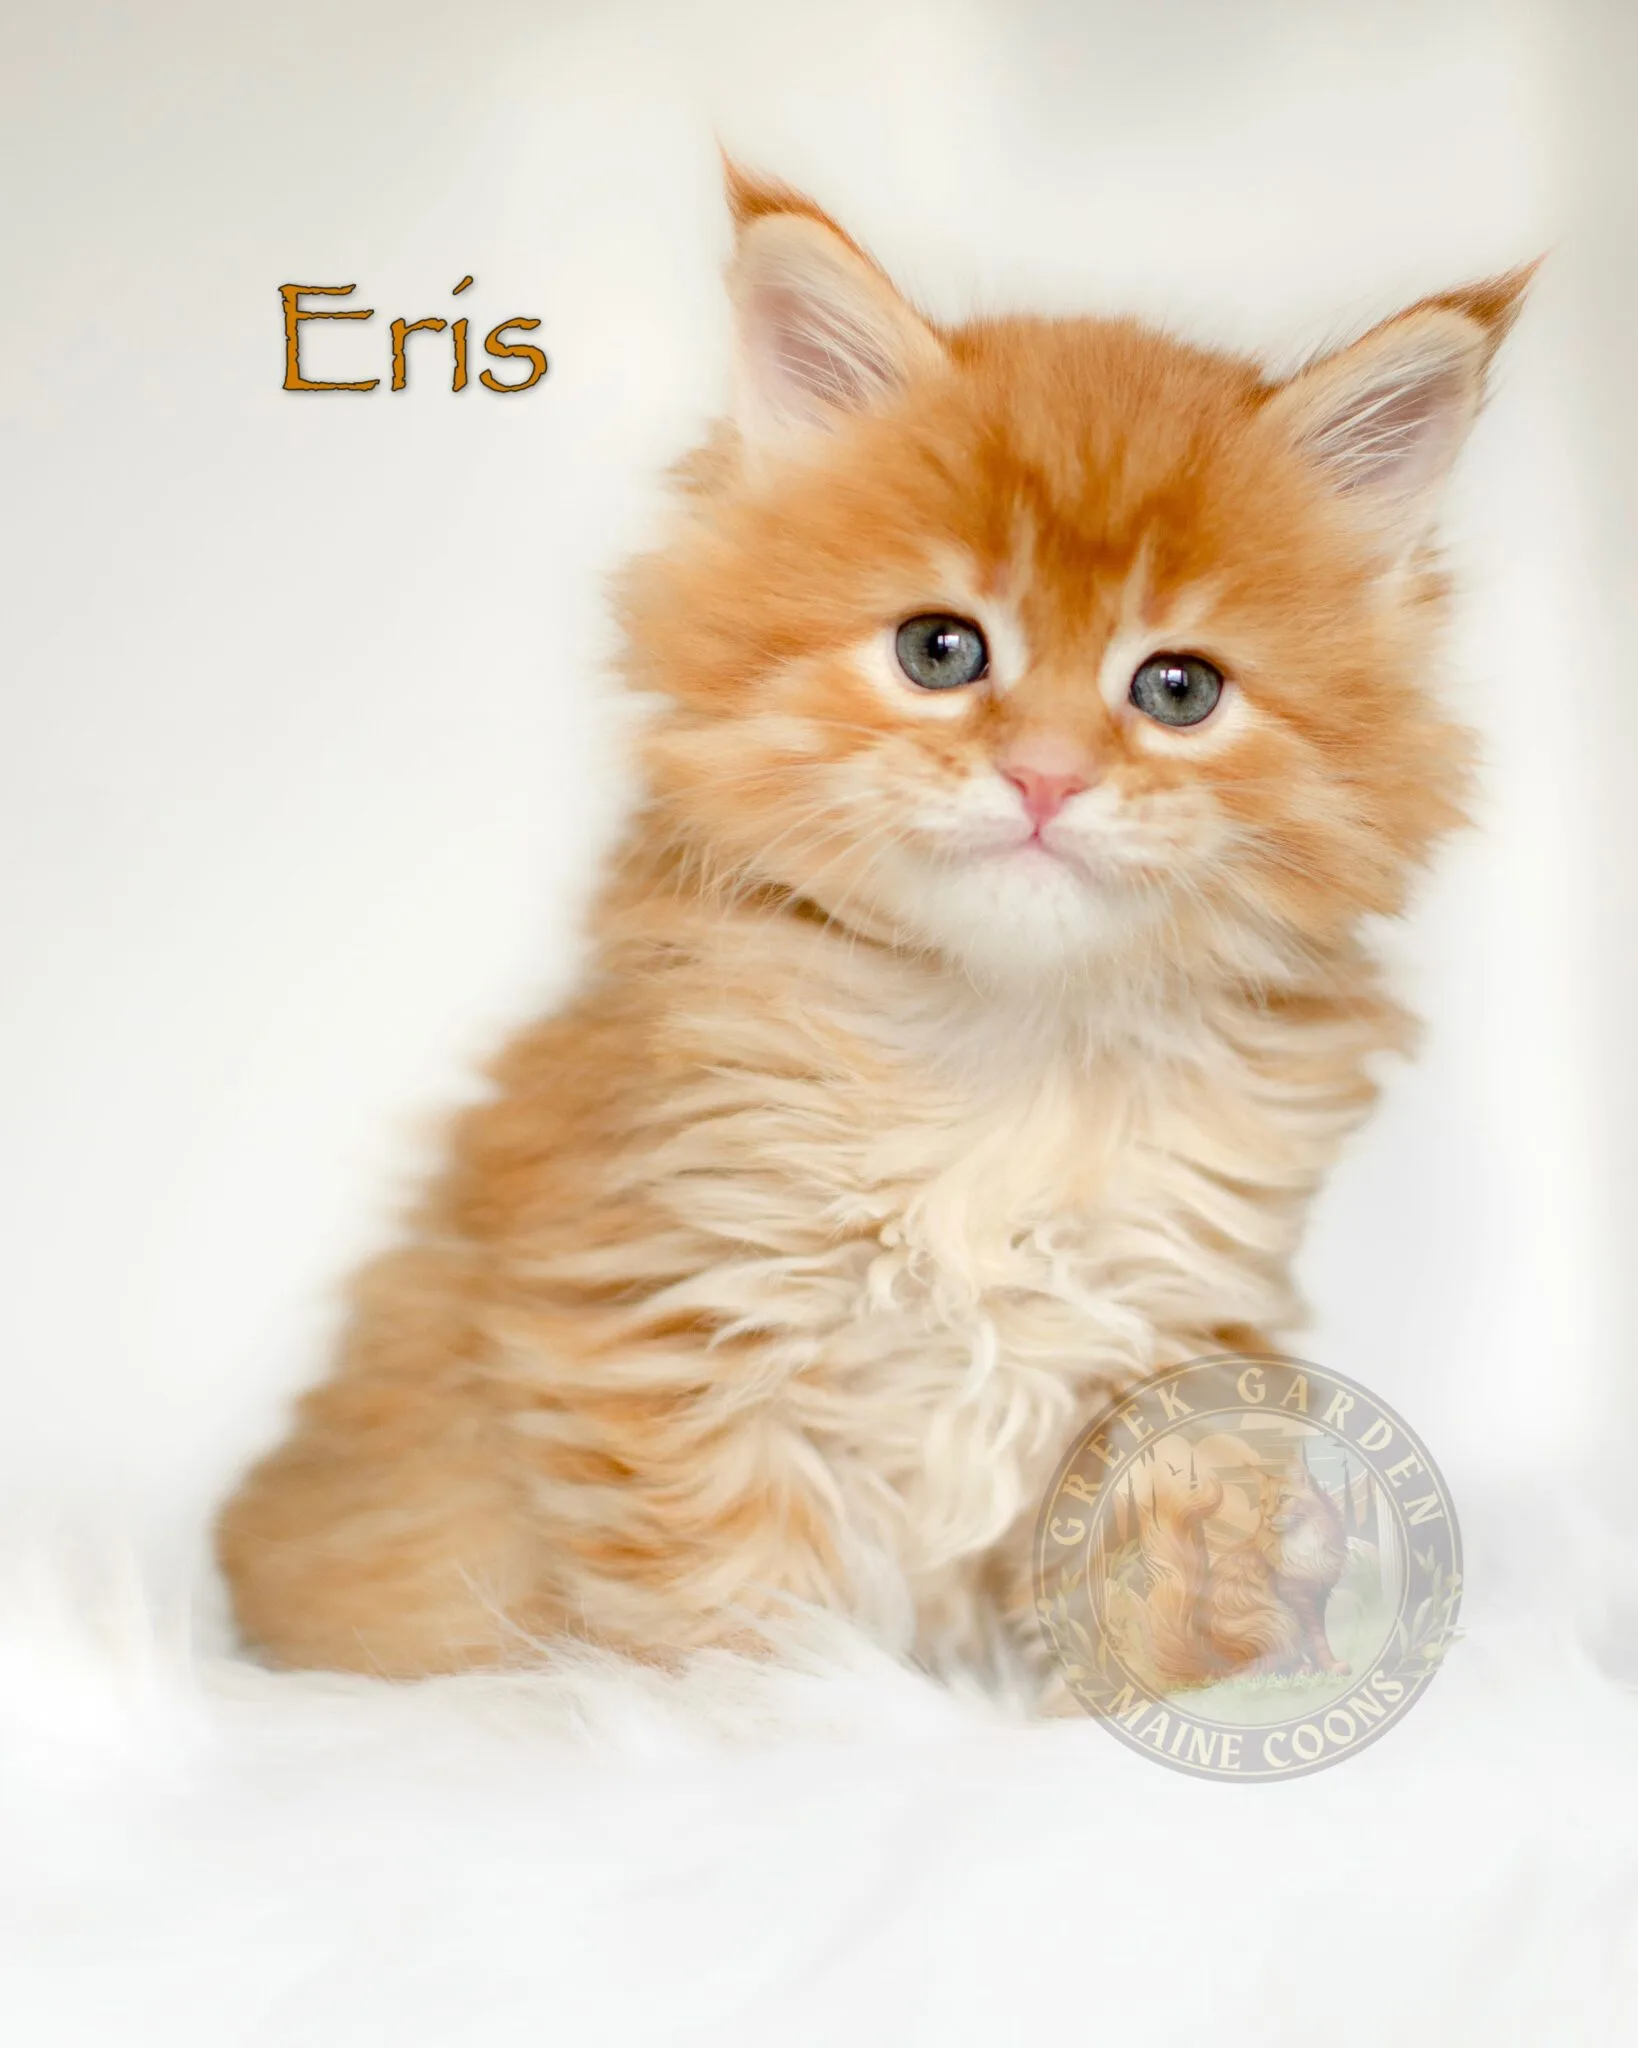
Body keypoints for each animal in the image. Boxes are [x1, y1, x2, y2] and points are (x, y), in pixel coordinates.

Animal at [213, 167, 1523, 1679]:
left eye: (1178, 690)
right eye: (939, 650)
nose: (1046, 777)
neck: (1006, 1060)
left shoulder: (1174, 1329)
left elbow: (1157, 1590)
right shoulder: (669, 1320)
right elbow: (735, 1617)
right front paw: (788, 1723)